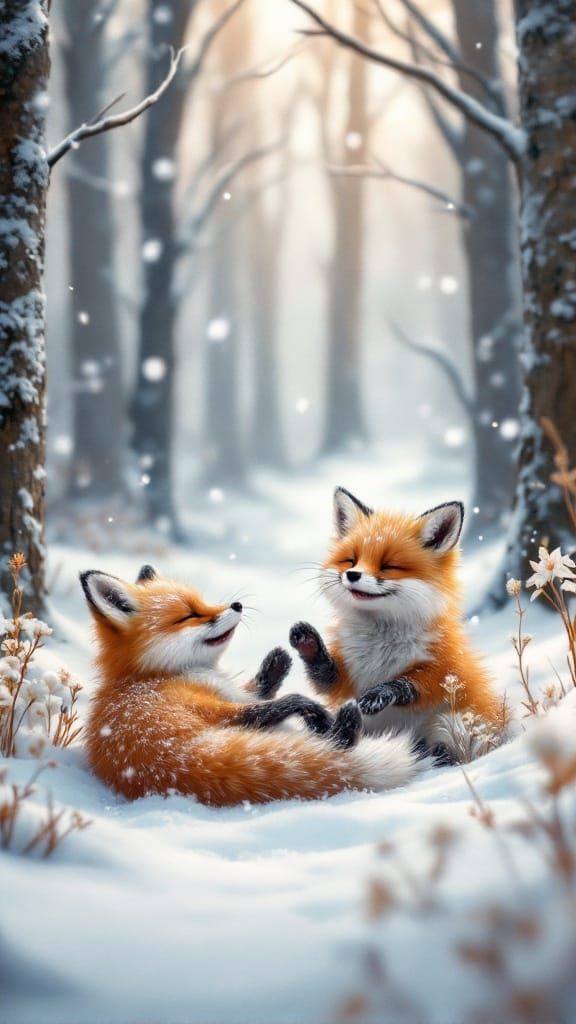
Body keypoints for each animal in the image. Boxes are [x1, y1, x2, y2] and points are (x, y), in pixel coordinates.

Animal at [80, 564, 423, 806]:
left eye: (203, 602)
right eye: (190, 615)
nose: (236, 605)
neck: (155, 675)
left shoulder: (234, 694)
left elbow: (259, 688)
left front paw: (276, 663)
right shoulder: (218, 703)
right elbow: (273, 704)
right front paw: (311, 708)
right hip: (215, 720)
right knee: (334, 739)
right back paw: (341, 724)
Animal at [289, 488, 502, 761]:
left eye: (389, 566)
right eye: (351, 561)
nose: (352, 575)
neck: (378, 647)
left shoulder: (443, 667)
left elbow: (406, 684)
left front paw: (379, 695)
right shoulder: (347, 675)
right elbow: (326, 677)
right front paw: (310, 644)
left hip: (454, 722)